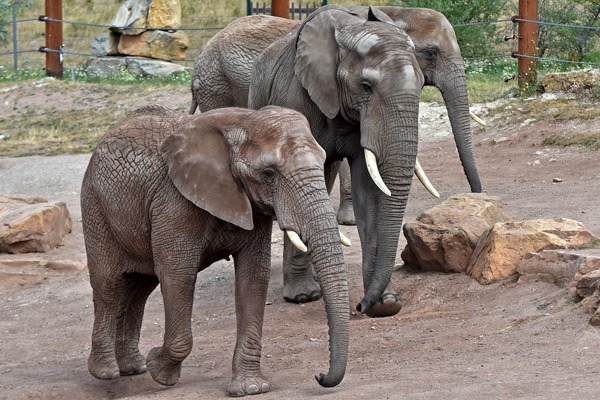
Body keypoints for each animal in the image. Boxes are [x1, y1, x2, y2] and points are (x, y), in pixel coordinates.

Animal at [82, 104, 350, 396]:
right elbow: (178, 275)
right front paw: (160, 371)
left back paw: (132, 368)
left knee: (140, 286)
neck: (243, 121)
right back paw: (106, 371)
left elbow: (253, 277)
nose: (319, 375)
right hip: (95, 204)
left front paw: (251, 388)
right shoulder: (175, 201)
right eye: (269, 174)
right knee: (108, 282)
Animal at [248, 4, 426, 318]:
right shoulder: (295, 98)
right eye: (365, 87)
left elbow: (368, 190)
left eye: (422, 85)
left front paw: (385, 303)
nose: (360, 305)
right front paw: (304, 296)